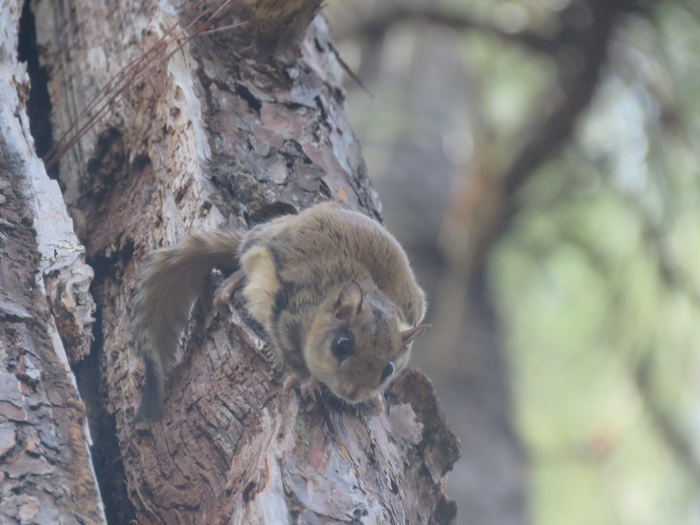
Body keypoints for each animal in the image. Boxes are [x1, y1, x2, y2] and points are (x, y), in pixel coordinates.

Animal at [131, 203, 426, 420]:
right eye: (342, 345)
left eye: (389, 369)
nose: (351, 393)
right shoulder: (288, 313)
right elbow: (289, 352)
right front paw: (306, 381)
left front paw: (375, 402)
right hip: (258, 254)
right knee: (242, 264)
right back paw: (228, 287)